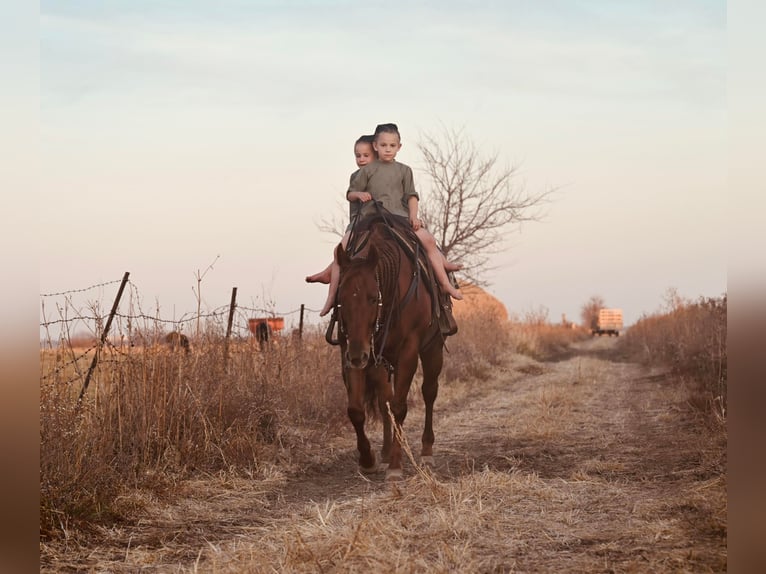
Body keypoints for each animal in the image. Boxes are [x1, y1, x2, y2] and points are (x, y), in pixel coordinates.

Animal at [332, 218, 448, 480]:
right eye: (340, 298)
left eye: (373, 298)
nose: (358, 355)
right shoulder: (351, 352)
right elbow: (356, 410)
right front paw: (368, 459)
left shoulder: (408, 352)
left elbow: (399, 407)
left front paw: (395, 464)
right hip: (378, 363)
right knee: (384, 399)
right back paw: (384, 453)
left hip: (432, 350)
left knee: (429, 393)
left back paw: (426, 451)